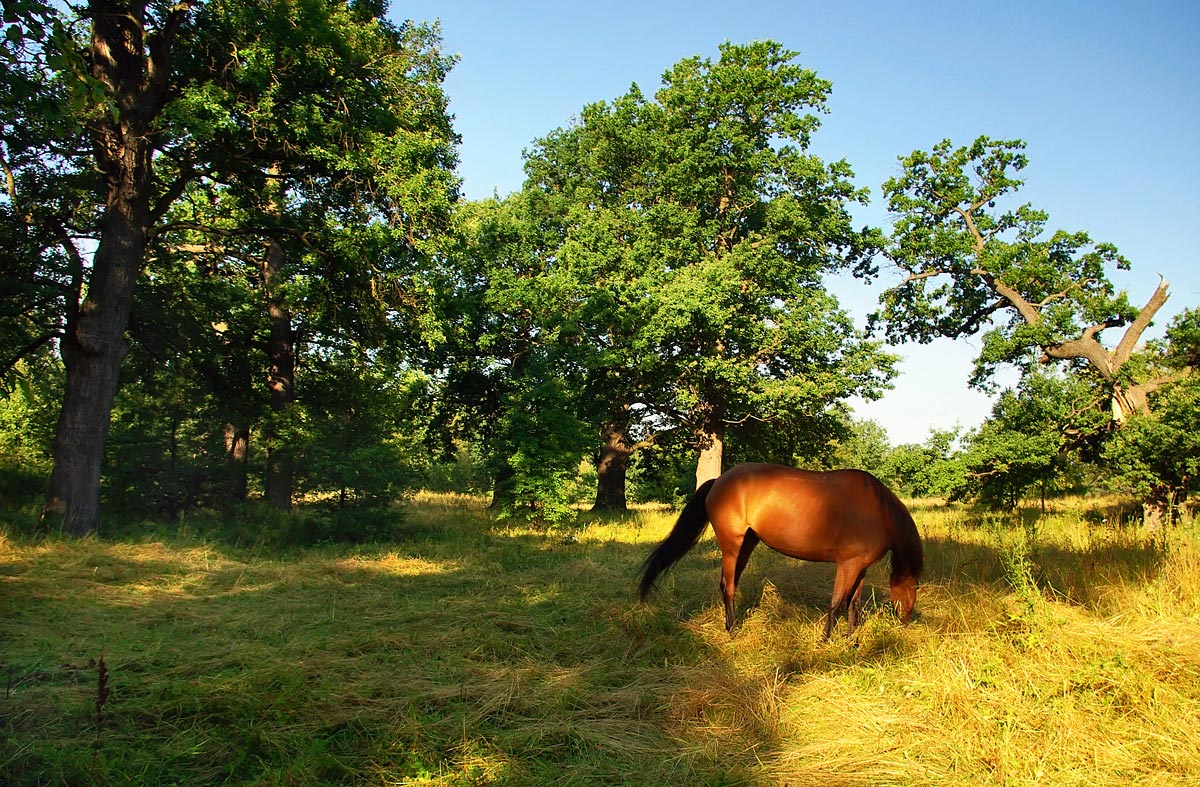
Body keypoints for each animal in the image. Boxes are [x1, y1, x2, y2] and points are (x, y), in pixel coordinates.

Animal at [643, 460, 921, 638]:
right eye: (913, 589)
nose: (906, 622)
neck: (878, 511)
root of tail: (719, 480)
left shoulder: (859, 567)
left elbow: (854, 604)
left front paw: (851, 639)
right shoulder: (848, 565)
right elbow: (836, 603)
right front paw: (825, 641)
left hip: (747, 544)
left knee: (730, 583)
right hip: (732, 545)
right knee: (727, 585)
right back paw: (732, 631)